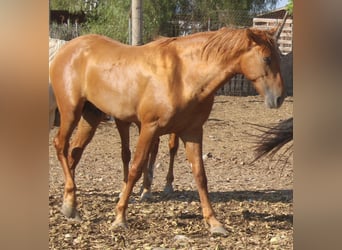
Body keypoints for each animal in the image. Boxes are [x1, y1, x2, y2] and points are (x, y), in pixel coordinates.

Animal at [50, 27, 286, 234]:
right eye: (266, 58)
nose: (279, 98)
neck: (184, 75)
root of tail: (67, 49)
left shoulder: (192, 132)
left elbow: (200, 175)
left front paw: (214, 222)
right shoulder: (149, 128)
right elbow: (136, 168)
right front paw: (120, 217)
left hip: (90, 117)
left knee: (74, 153)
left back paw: (70, 204)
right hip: (70, 112)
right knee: (60, 145)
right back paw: (71, 204)